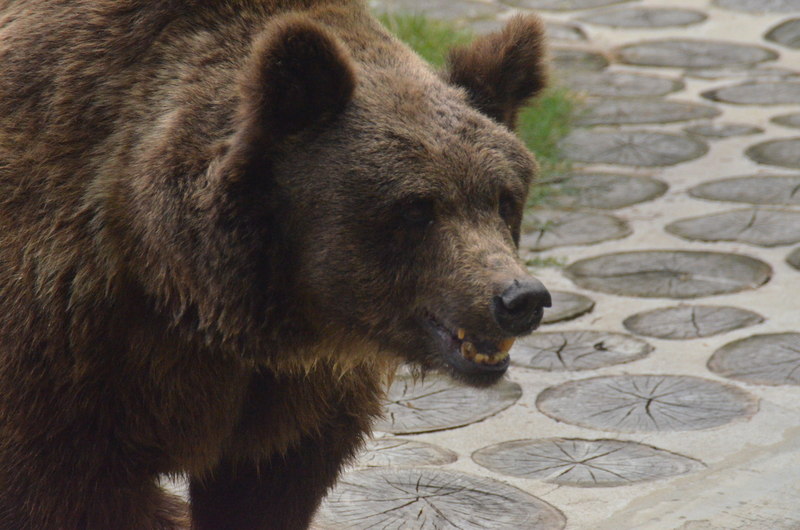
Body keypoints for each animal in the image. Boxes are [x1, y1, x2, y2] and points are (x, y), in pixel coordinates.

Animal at [0, 1, 551, 528]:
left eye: (503, 199)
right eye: (417, 207)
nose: (519, 298)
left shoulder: (294, 398)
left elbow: (266, 488)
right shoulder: (70, 354)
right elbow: (69, 490)